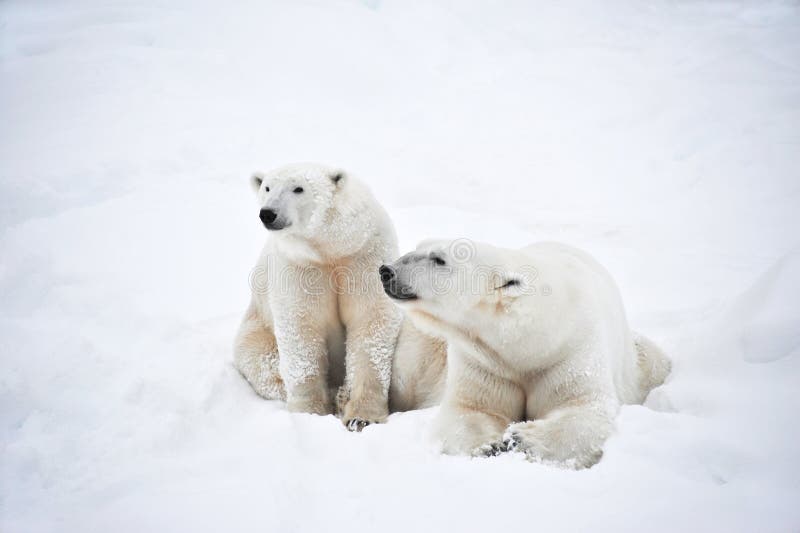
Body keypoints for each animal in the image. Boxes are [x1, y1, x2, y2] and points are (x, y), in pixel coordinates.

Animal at [231, 162, 446, 428]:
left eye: (298, 188)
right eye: (267, 187)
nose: (268, 213)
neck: (331, 249)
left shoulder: (364, 254)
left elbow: (370, 321)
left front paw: (361, 417)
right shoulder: (299, 265)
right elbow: (301, 327)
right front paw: (310, 412)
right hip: (255, 332)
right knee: (264, 365)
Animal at [380, 239, 668, 468]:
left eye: (439, 259)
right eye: (417, 247)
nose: (387, 271)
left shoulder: (571, 350)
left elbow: (584, 407)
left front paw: (521, 439)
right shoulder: (484, 360)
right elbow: (472, 408)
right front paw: (489, 445)